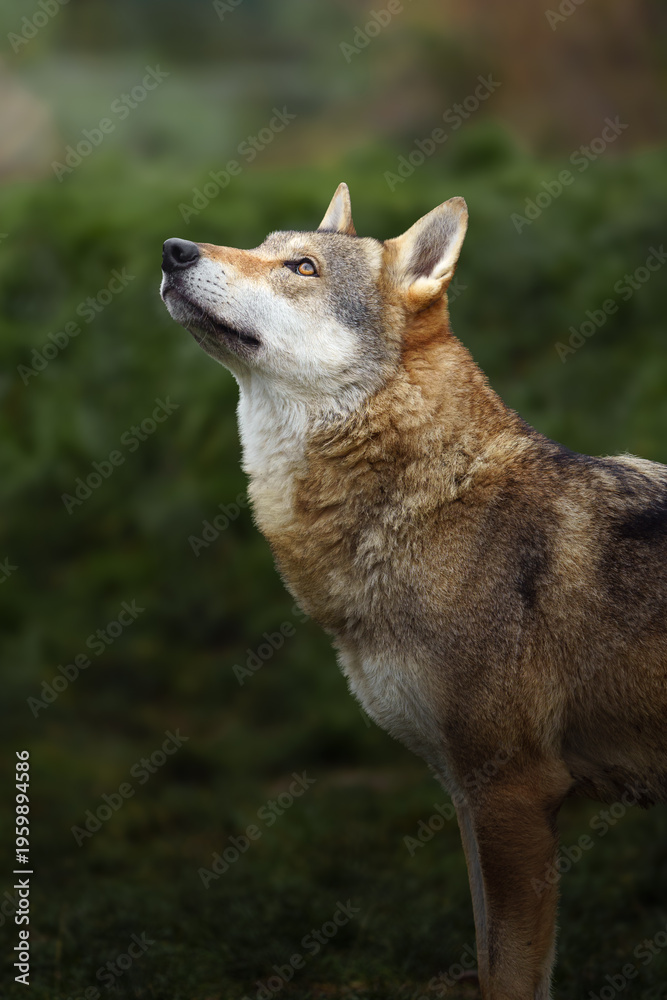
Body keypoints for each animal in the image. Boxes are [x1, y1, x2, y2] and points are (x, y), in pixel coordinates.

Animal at [160, 183, 667, 999]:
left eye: (300, 266)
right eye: (262, 247)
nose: (172, 250)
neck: (430, 503)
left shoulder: (513, 793)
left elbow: (509, 973)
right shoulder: (468, 796)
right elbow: (490, 956)